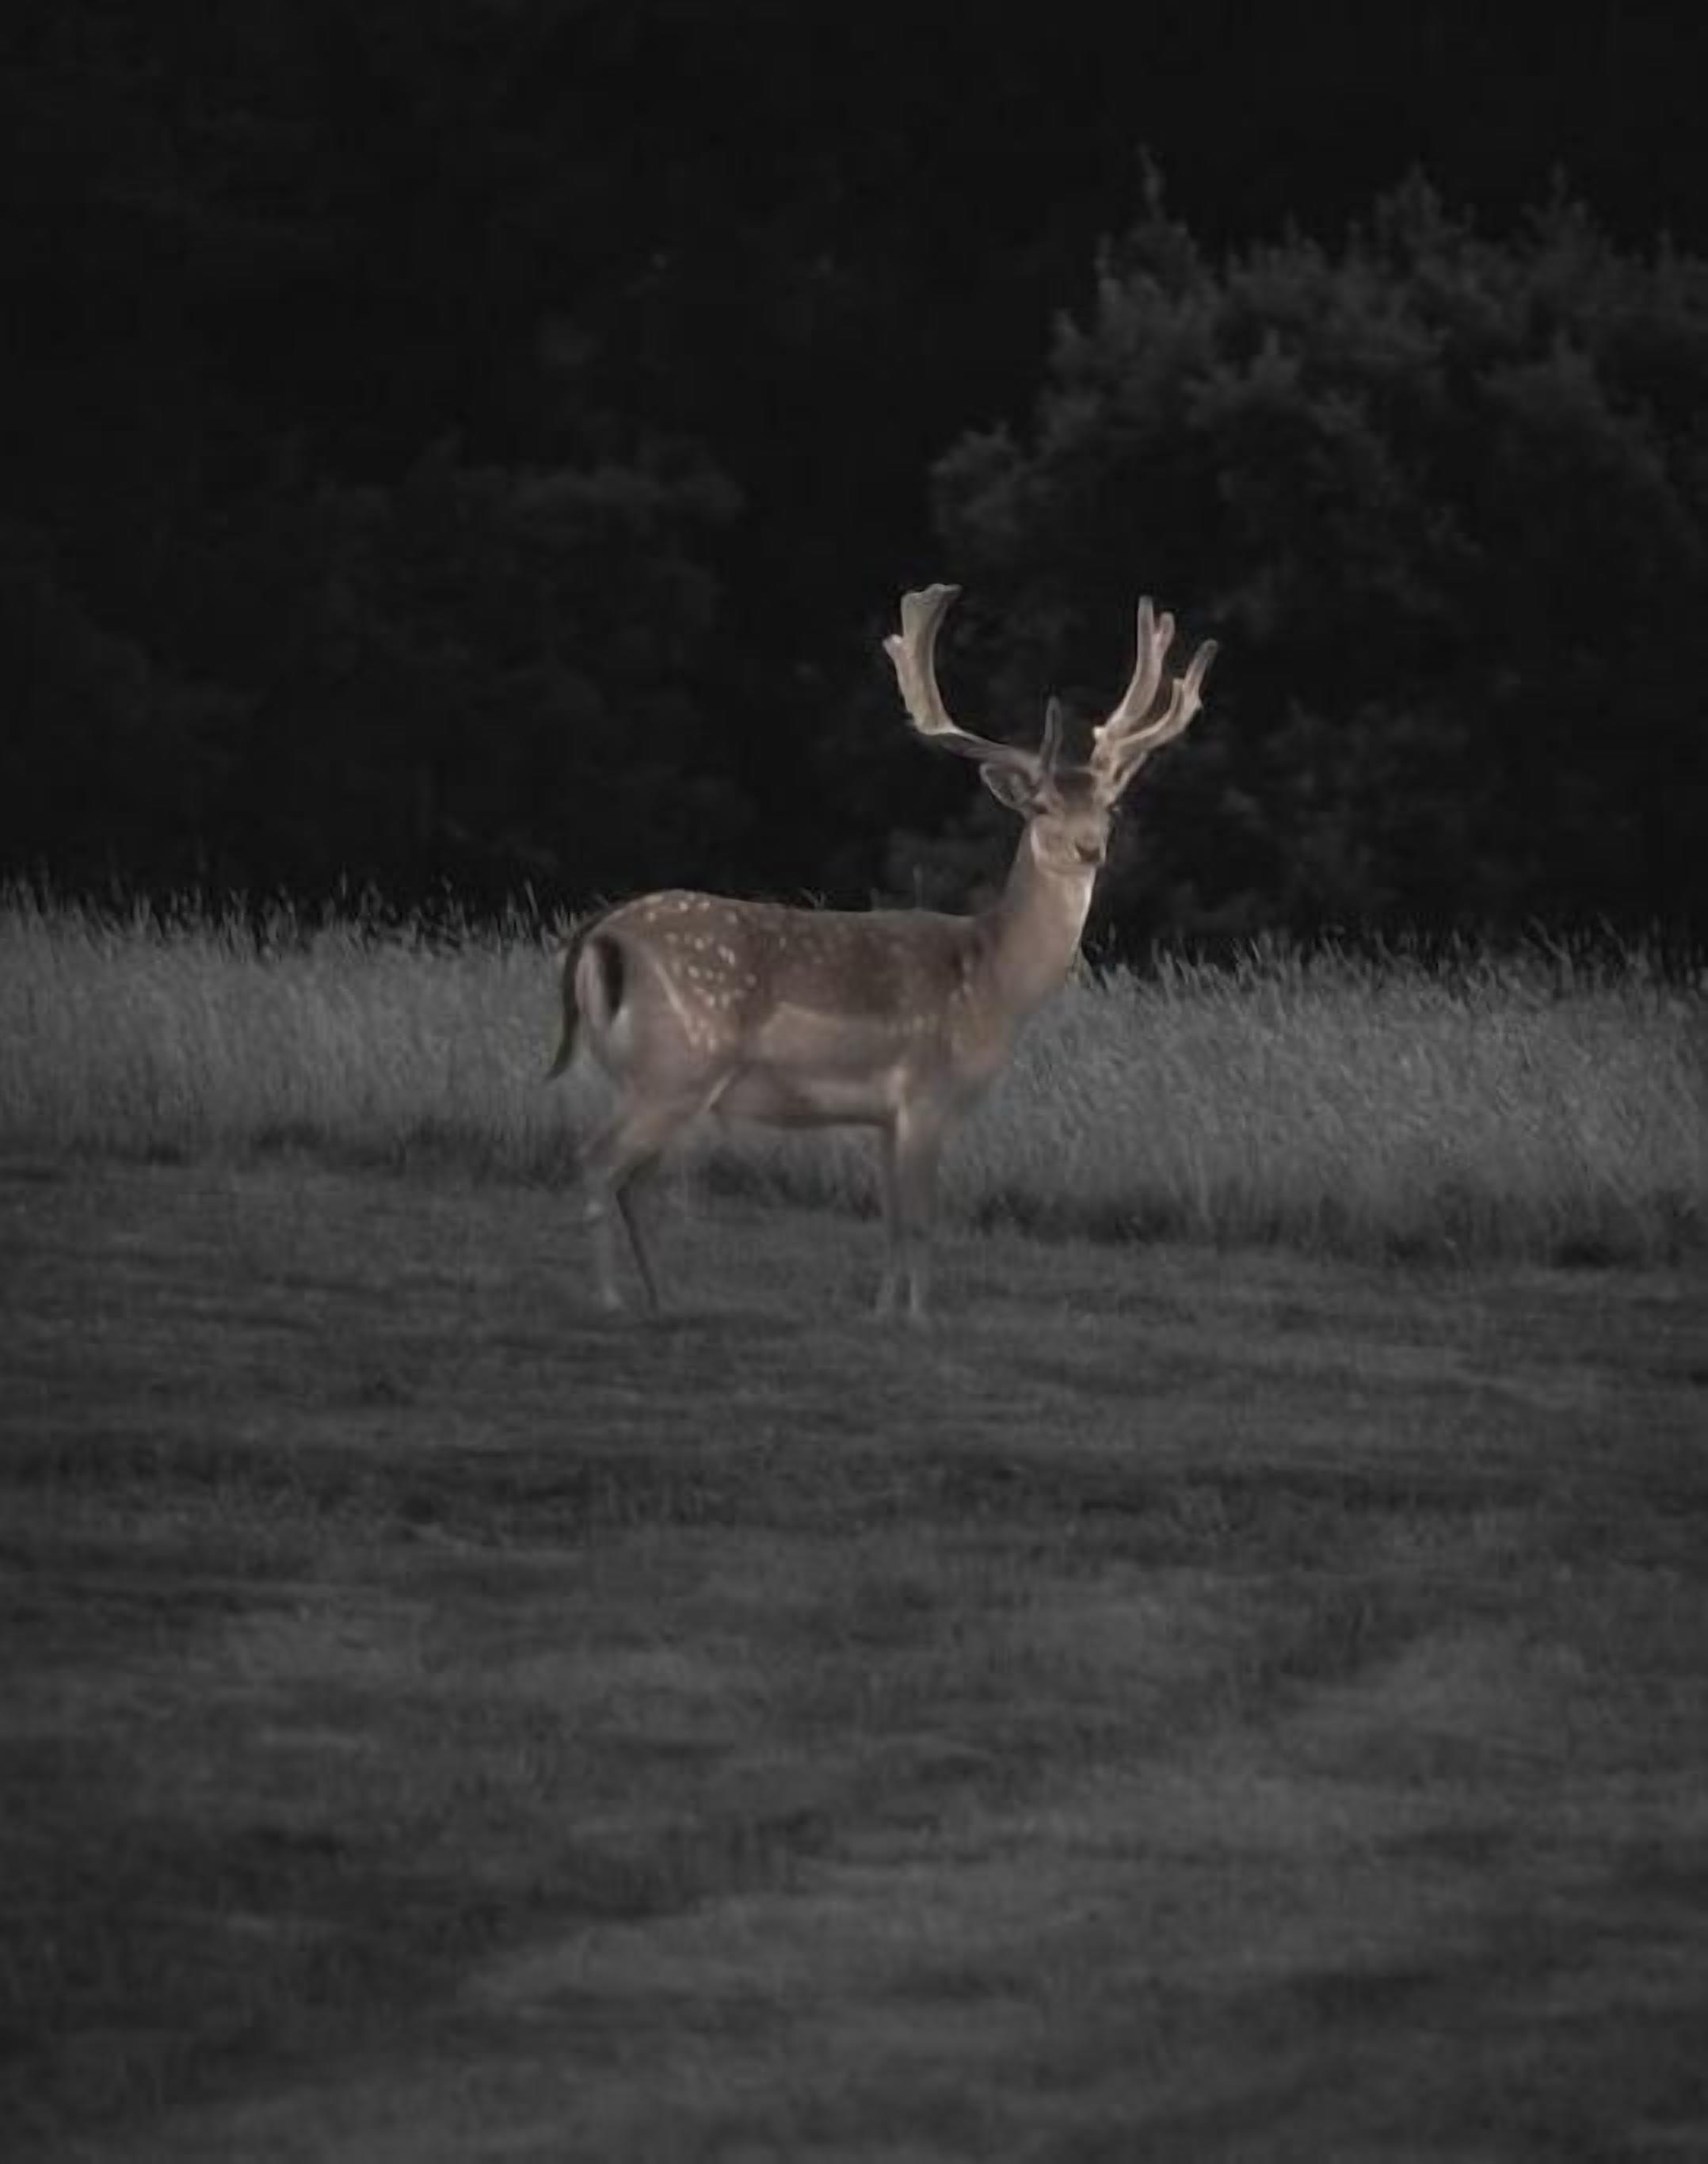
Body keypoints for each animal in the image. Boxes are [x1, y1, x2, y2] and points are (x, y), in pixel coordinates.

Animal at [549, 584, 1215, 1320]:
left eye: (1110, 807)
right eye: (1040, 806)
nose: (1089, 847)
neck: (993, 979)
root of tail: (602, 934)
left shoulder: (883, 1117)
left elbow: (892, 1219)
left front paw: (883, 1311)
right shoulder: (927, 1091)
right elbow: (921, 1219)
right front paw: (919, 1317)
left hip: (663, 1079)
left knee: (633, 1183)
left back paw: (664, 1297)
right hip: (678, 1064)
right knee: (595, 1161)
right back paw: (610, 1298)